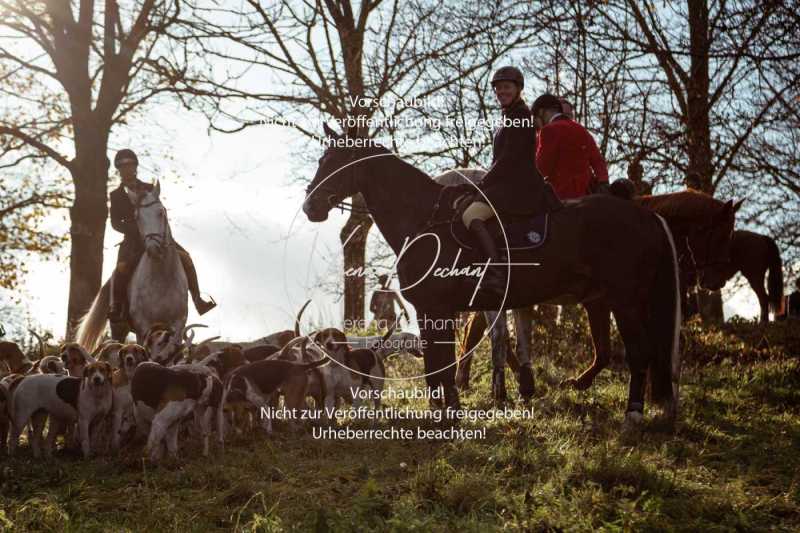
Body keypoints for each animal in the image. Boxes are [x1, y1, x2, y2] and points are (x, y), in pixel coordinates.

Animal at [78, 183, 191, 362]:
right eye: (137, 217)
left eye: (161, 212)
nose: (153, 248)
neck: (162, 280)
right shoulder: (143, 327)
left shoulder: (178, 326)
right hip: (118, 326)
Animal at [300, 128, 680, 424]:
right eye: (322, 160)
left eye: (336, 162)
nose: (309, 207)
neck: (424, 220)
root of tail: (646, 214)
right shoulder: (435, 309)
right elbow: (440, 362)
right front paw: (446, 410)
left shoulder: (436, 307)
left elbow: (442, 363)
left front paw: (447, 414)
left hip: (624, 299)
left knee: (639, 352)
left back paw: (633, 412)